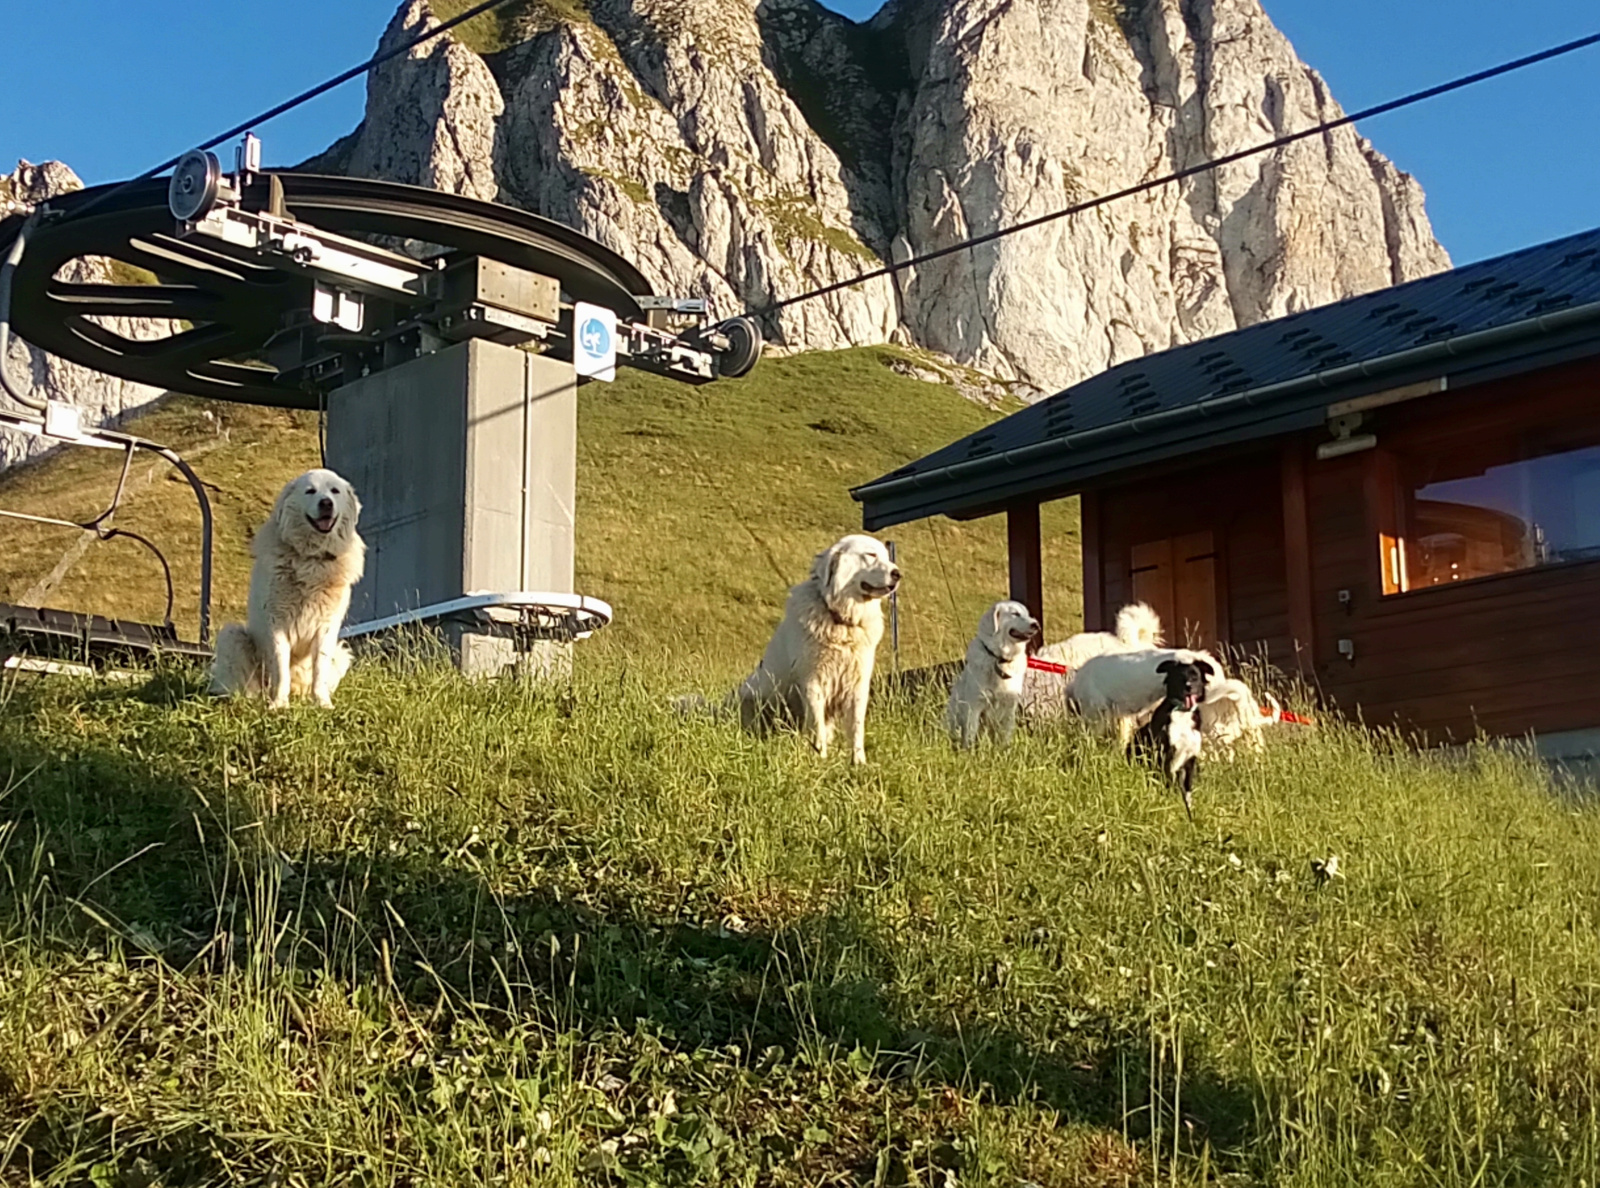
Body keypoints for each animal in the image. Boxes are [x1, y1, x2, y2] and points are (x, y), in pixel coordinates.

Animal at [208, 464, 364, 707]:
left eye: (334, 491)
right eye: (310, 491)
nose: (326, 503)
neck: (311, 559)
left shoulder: (326, 627)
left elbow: (319, 670)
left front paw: (323, 704)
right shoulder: (276, 623)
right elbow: (281, 669)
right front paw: (279, 704)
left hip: (341, 652)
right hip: (231, 635)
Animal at [940, 598, 1043, 749]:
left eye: (1027, 614)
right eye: (1015, 614)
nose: (1036, 624)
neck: (1000, 659)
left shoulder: (1009, 706)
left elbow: (1005, 736)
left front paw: (1005, 751)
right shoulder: (975, 705)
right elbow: (970, 735)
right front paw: (969, 752)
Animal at [1132, 659, 1216, 819]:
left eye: (1195, 677)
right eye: (1180, 677)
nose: (1188, 686)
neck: (1183, 712)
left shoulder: (1190, 759)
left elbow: (1187, 791)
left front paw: (1189, 812)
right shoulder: (1165, 755)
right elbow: (1168, 784)